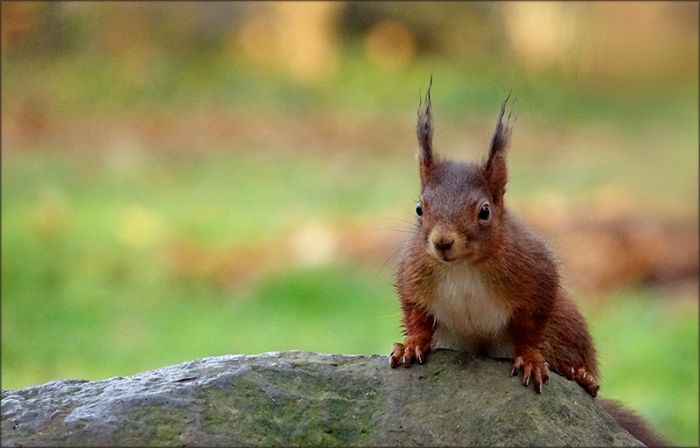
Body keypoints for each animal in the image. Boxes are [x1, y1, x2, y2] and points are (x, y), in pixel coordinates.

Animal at [389, 81, 669, 447]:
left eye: (484, 211)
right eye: (420, 208)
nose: (443, 242)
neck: (463, 267)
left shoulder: (536, 276)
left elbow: (530, 325)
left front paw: (532, 360)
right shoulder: (414, 275)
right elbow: (416, 313)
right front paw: (410, 345)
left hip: (566, 321)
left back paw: (581, 376)